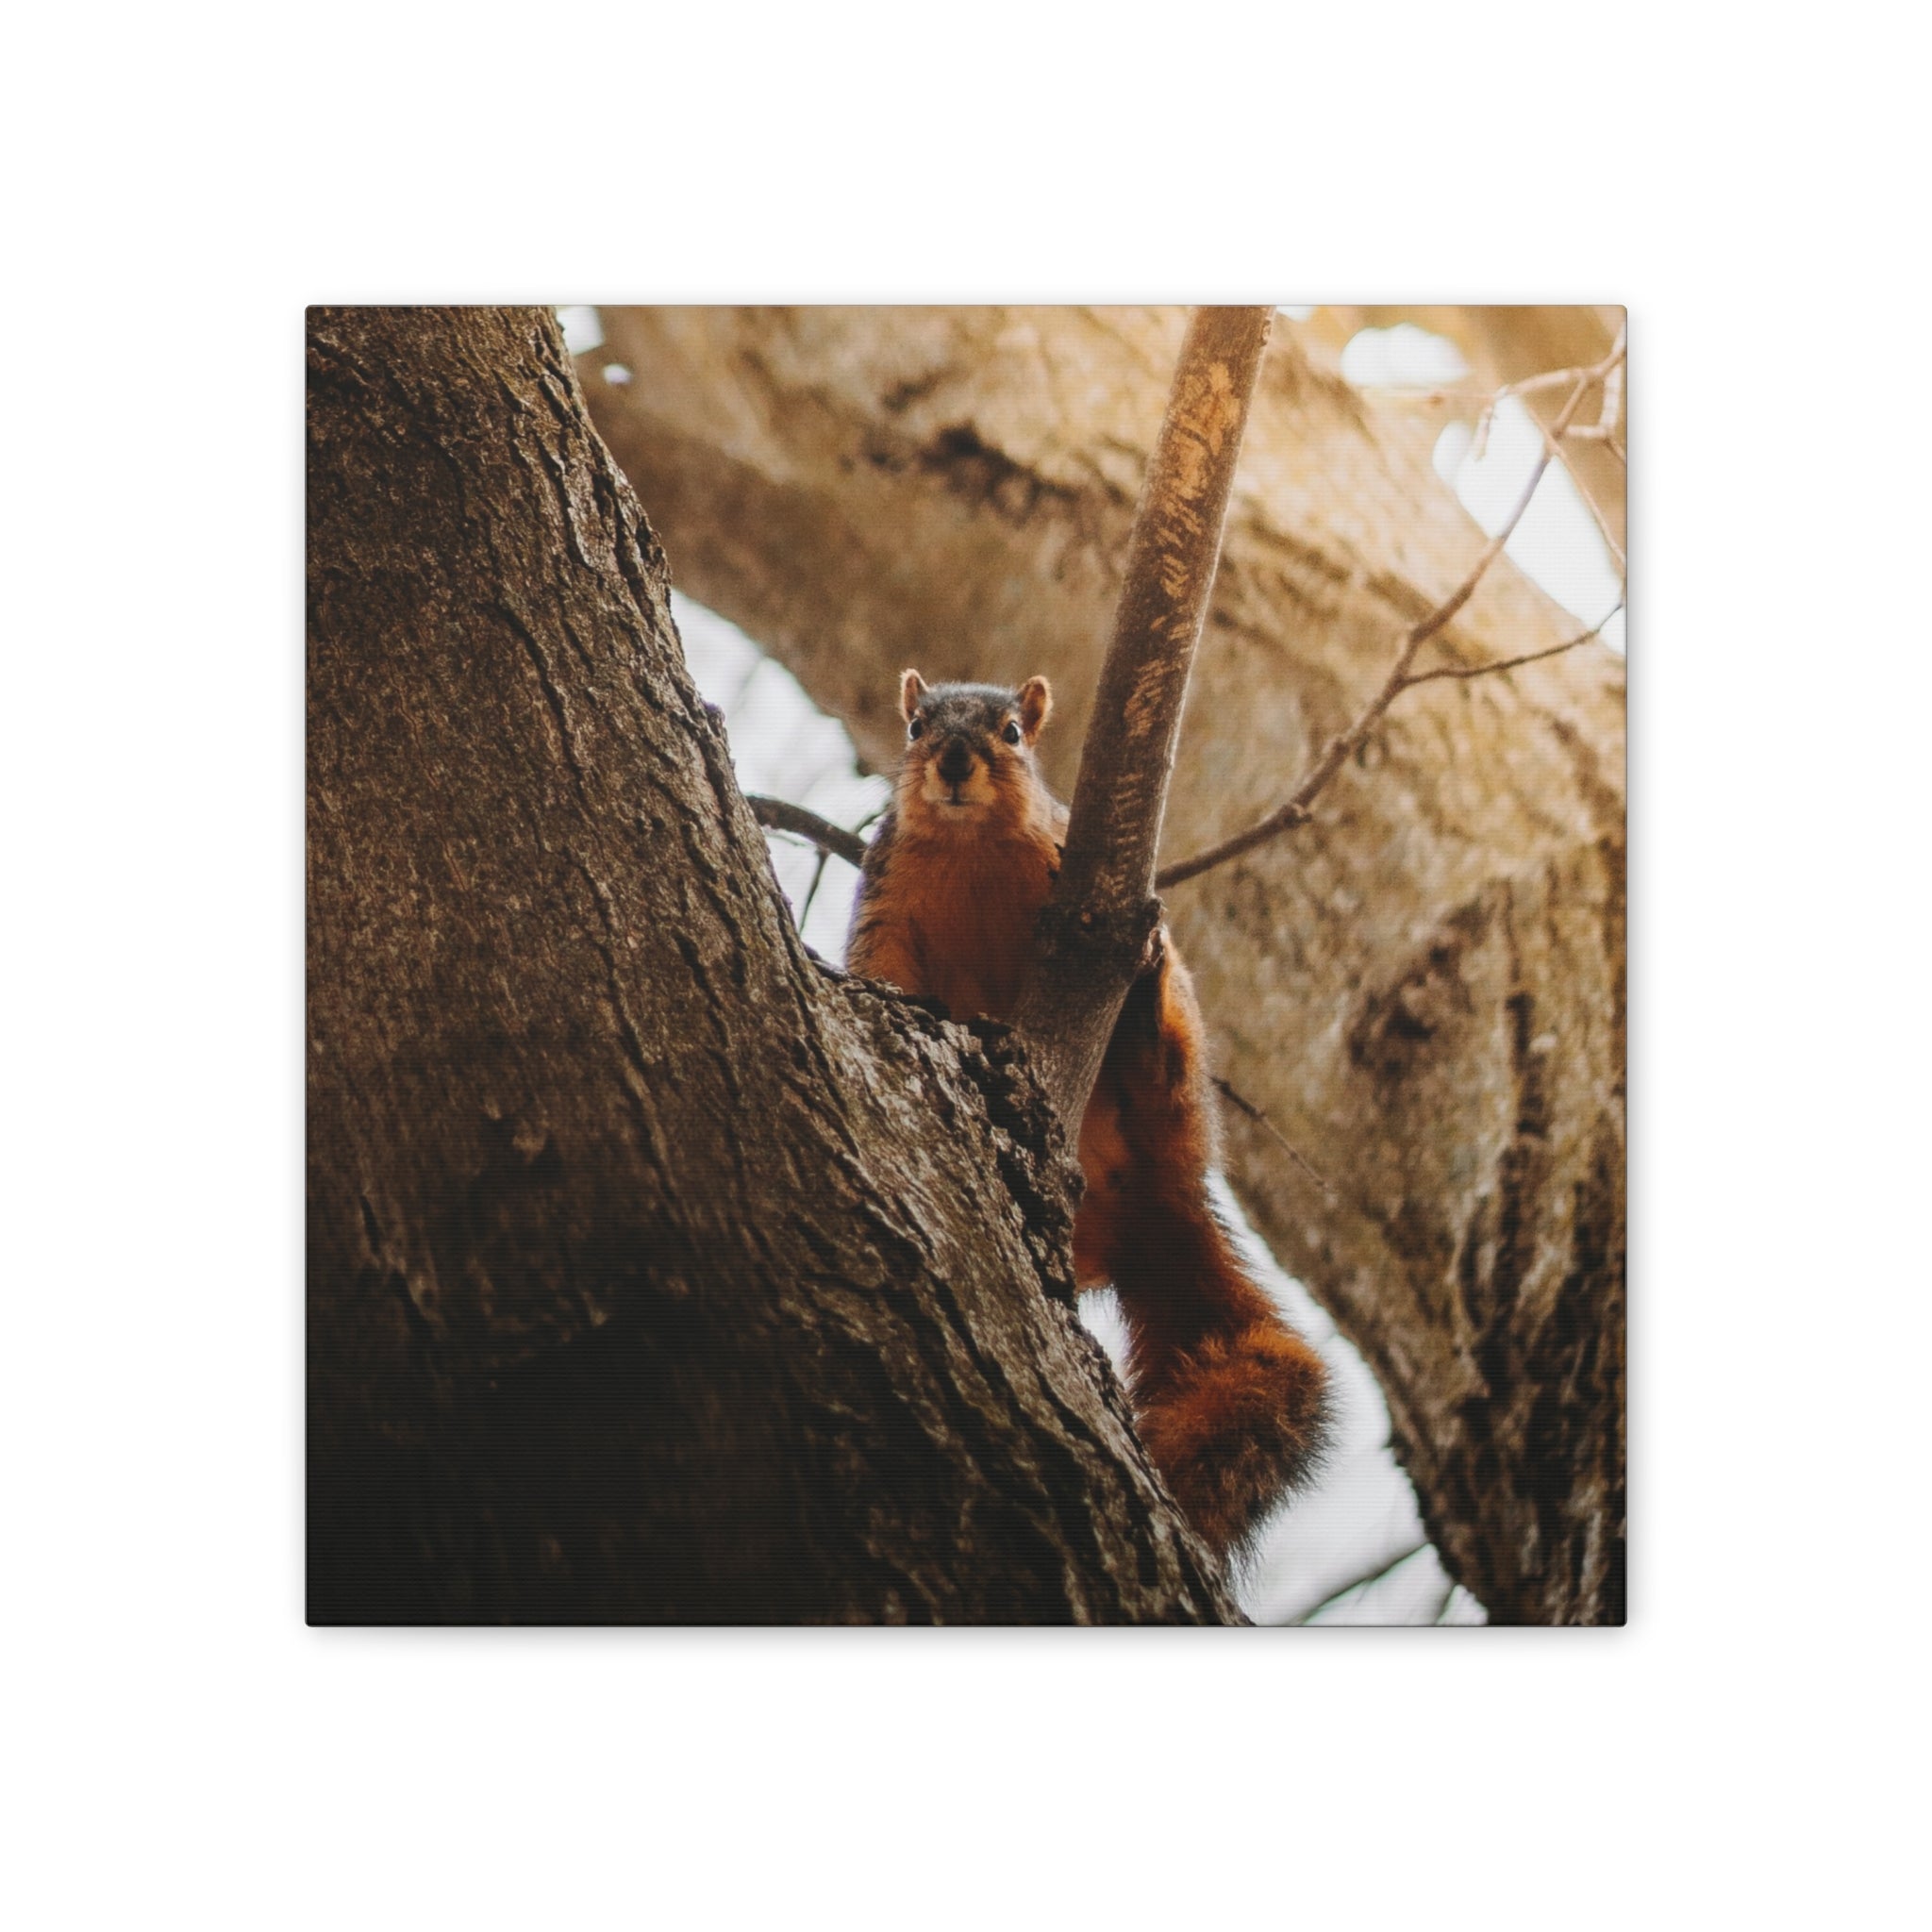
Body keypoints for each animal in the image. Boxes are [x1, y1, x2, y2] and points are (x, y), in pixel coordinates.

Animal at [847, 670, 1329, 1560]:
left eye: (1012, 732)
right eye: (916, 727)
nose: (955, 760)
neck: (970, 850)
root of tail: (1155, 1202)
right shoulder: (886, 902)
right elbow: (885, 971)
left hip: (1179, 1100)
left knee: (1164, 1073)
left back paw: (1145, 1020)